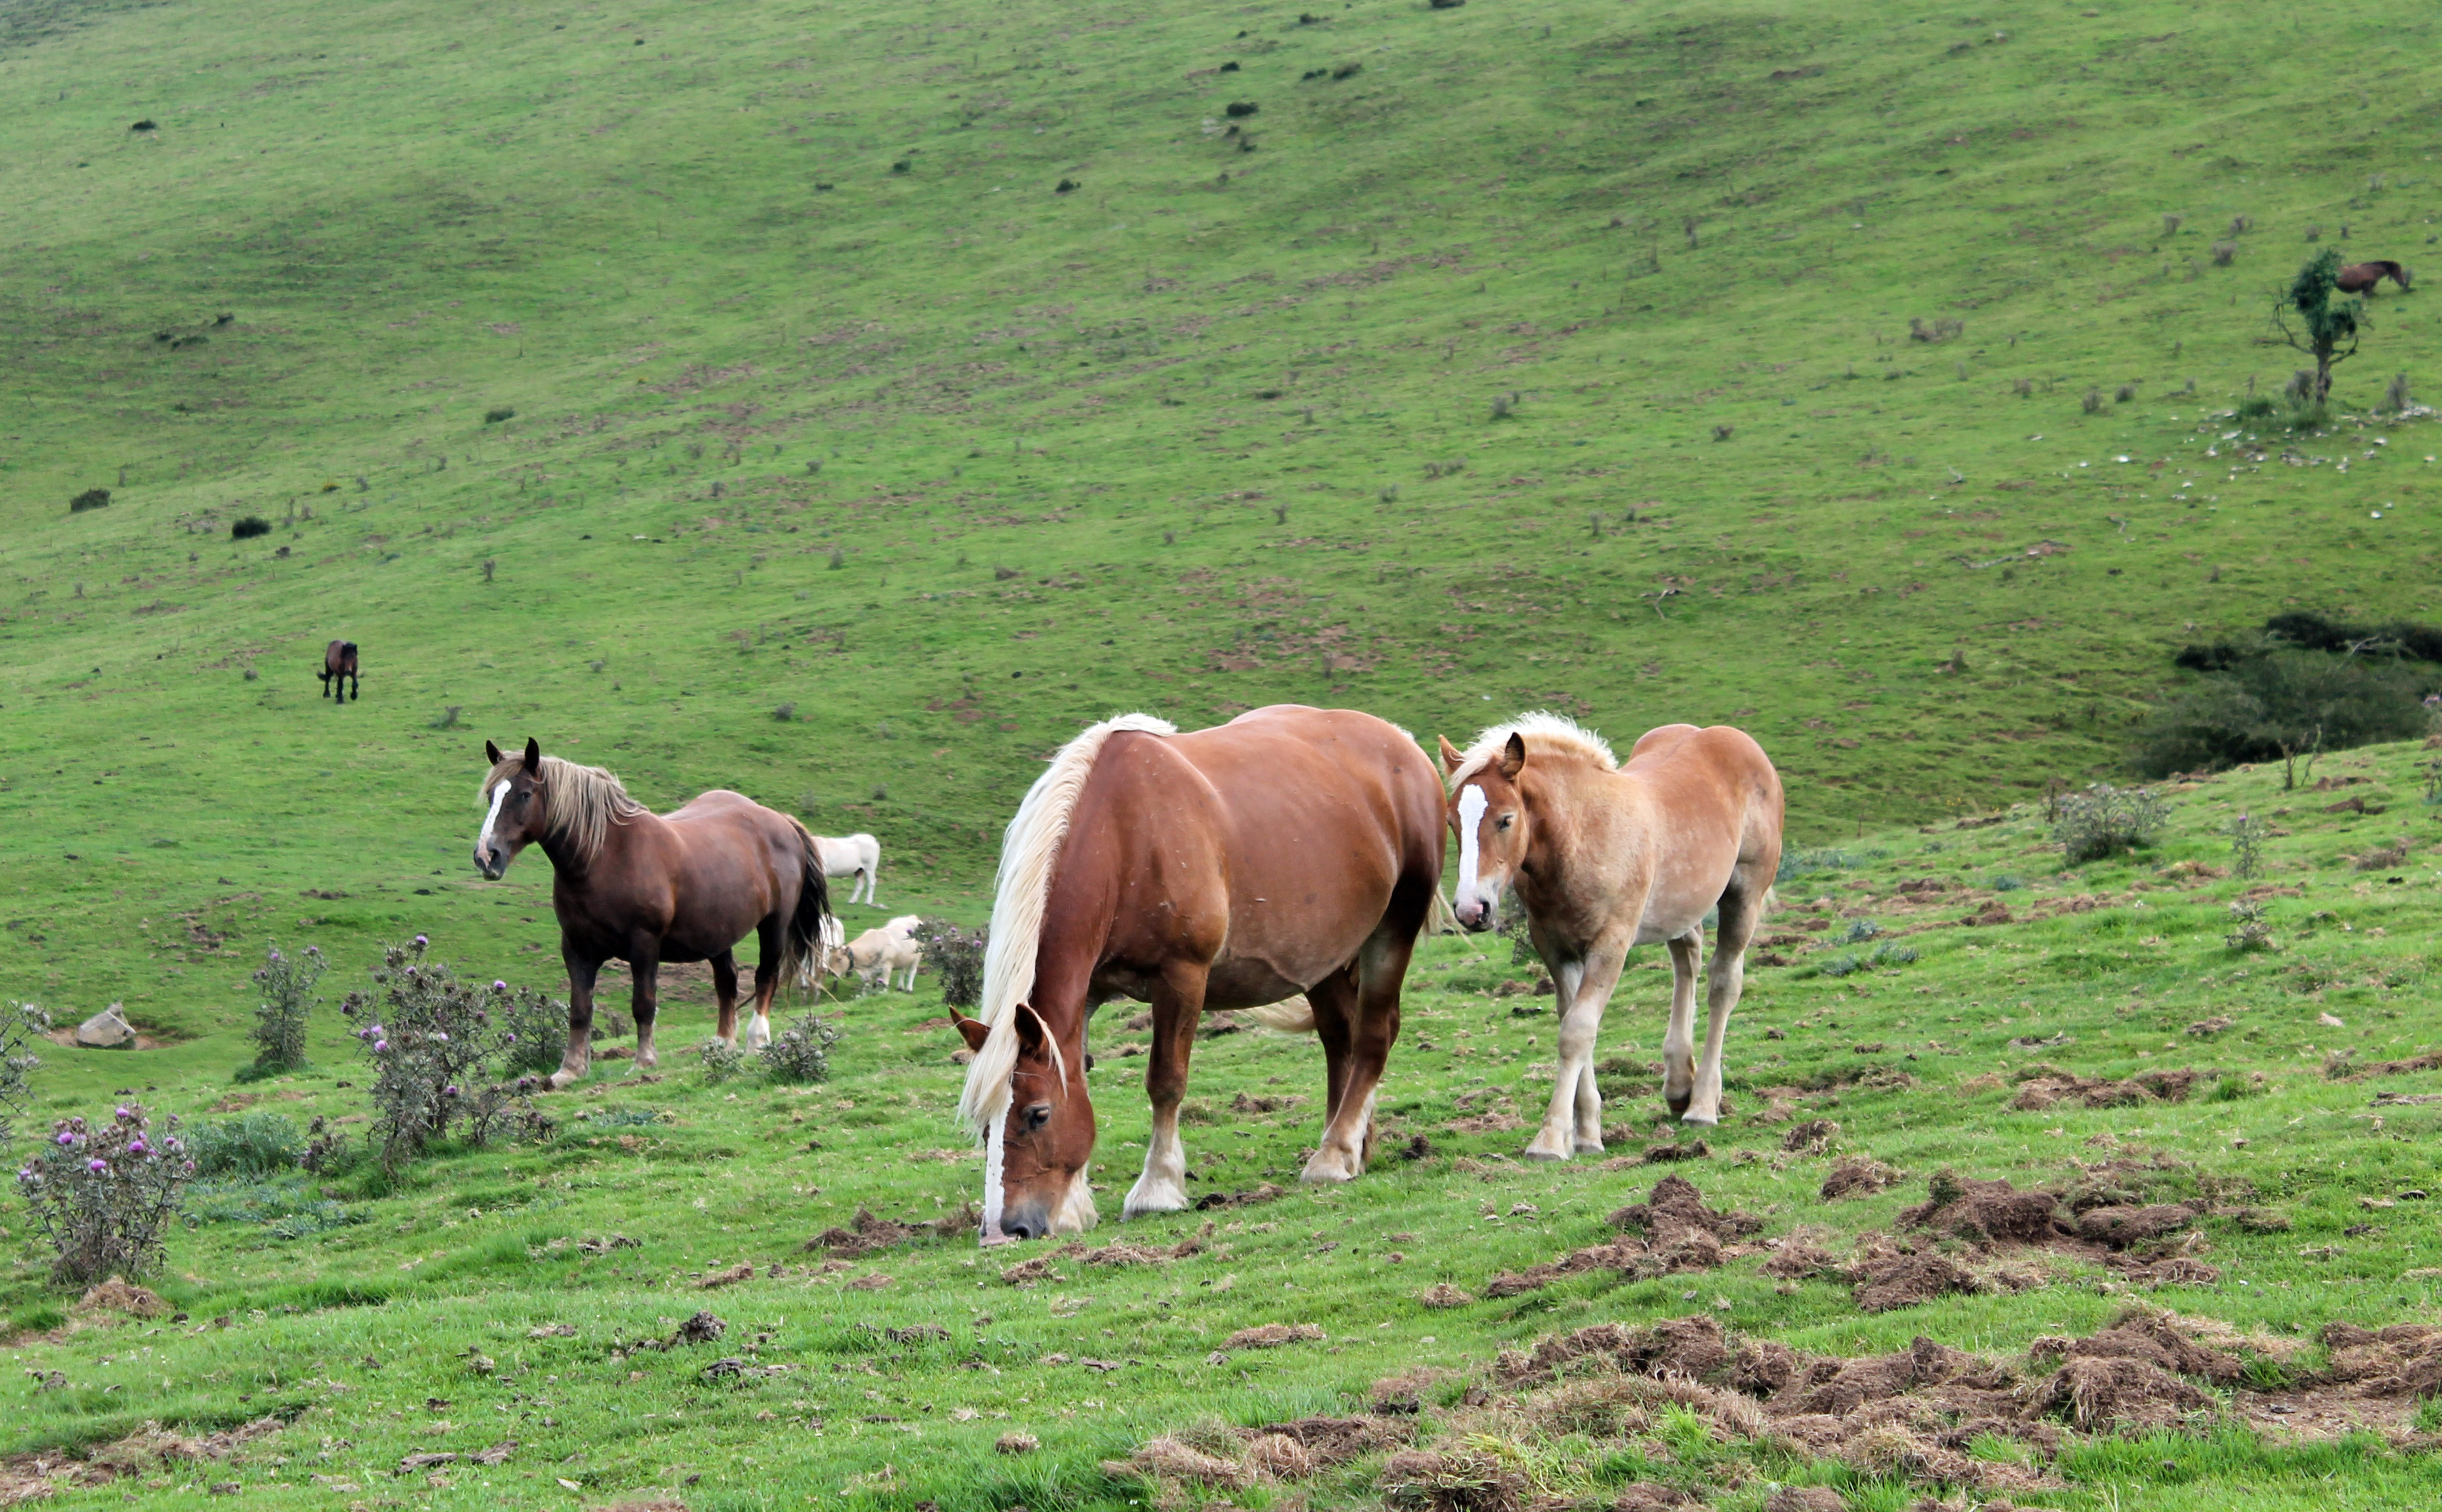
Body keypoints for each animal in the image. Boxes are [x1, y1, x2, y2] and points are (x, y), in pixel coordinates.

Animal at [471, 737, 835, 1084]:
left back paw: (756, 1041)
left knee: (765, 977)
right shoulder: (576, 947)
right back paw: (721, 1045)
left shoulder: (644, 943)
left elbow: (643, 1004)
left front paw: (644, 1060)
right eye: (491, 795)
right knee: (727, 983)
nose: (486, 857)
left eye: (524, 794)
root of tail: (780, 821)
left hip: (774, 925)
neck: (603, 857)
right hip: (719, 933)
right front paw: (570, 1070)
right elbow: (580, 1010)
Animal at [947, 708, 1445, 1240]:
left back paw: (1334, 1154)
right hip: (1323, 956)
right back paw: (1351, 1146)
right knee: (1340, 1039)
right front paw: (1073, 1208)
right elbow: (1076, 1074)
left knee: (1373, 1034)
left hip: (1393, 929)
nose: (1004, 1230)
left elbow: (1166, 1081)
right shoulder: (1089, 991)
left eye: (1037, 1114)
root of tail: (1402, 743)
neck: (1124, 835)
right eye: (983, 1124)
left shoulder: (1181, 977)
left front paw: (1157, 1188)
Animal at [1436, 718, 1787, 1153]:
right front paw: (1586, 1133)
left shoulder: (1610, 947)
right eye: (1452, 822)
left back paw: (1703, 1104)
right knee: (1688, 958)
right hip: (1679, 904)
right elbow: (1571, 1023)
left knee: (1724, 984)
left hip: (1744, 895)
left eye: (1505, 819)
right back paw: (1679, 1085)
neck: (1582, 838)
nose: (1472, 910)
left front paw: (1550, 1140)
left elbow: (1577, 1031)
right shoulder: (1555, 949)